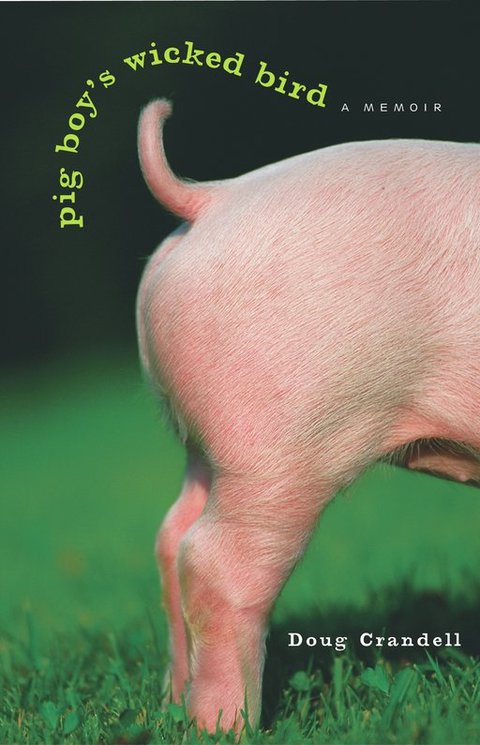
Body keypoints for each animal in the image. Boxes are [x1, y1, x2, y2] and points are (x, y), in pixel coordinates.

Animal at [136, 98, 480, 733]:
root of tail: (212, 197)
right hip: (280, 444)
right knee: (215, 563)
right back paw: (229, 725)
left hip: (208, 442)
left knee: (172, 536)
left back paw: (172, 705)